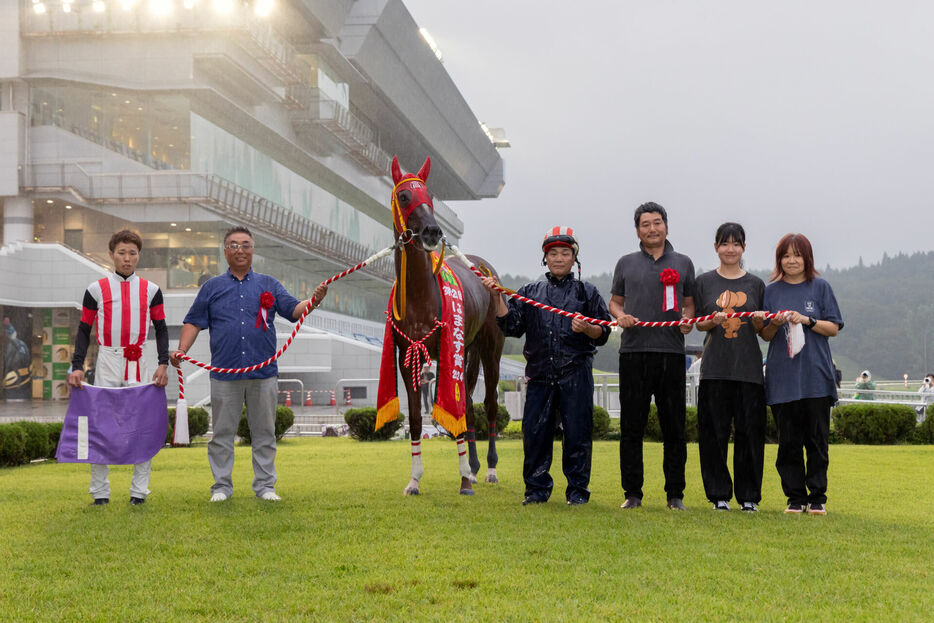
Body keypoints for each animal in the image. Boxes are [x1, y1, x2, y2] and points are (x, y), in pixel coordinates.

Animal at [388, 157, 504, 498]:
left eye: (429, 194)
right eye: (404, 196)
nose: (432, 231)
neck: (419, 294)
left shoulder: (447, 351)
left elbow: (456, 411)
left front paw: (464, 479)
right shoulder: (408, 354)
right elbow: (416, 418)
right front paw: (414, 480)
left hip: (490, 348)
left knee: (489, 404)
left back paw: (488, 469)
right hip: (470, 349)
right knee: (470, 404)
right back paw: (476, 467)